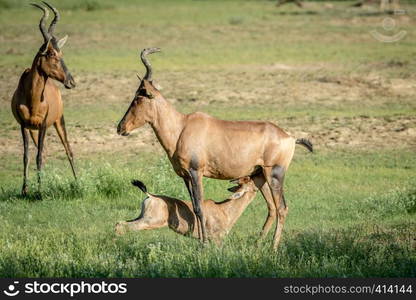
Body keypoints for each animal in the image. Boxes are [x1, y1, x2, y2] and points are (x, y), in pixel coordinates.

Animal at [11, 2, 76, 197]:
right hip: (34, 129)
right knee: (45, 152)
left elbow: (38, 156)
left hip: (58, 121)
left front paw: (39, 192)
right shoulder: (24, 126)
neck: (33, 98)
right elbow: (27, 156)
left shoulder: (44, 125)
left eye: (61, 53)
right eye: (52, 54)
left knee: (68, 150)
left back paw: (78, 184)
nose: (71, 81)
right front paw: (25, 190)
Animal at [115, 177, 260, 243]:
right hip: (150, 222)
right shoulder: (216, 239)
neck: (223, 208)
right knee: (126, 227)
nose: (258, 186)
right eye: (250, 182)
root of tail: (151, 195)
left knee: (119, 223)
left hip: (141, 217)